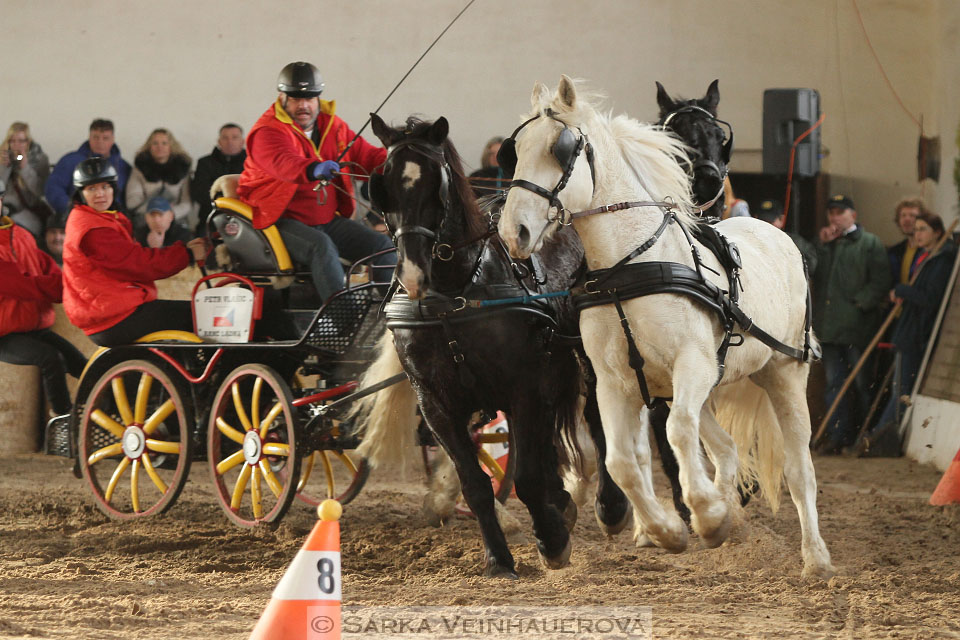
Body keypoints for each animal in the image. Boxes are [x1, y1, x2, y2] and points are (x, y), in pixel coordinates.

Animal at [366, 115, 632, 580]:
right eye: (384, 185)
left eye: (437, 183)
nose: (413, 273)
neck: (457, 291)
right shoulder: (436, 402)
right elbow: (474, 484)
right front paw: (499, 558)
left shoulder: (523, 385)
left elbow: (525, 476)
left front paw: (552, 541)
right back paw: (561, 502)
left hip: (585, 355)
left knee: (598, 419)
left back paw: (609, 506)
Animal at [498, 76, 836, 580]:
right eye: (515, 150)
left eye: (561, 149)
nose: (512, 232)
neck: (628, 265)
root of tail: (777, 232)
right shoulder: (613, 382)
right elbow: (623, 459)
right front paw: (668, 531)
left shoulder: (691, 365)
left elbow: (677, 435)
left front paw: (707, 516)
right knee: (724, 447)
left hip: (783, 371)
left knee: (799, 471)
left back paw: (815, 556)